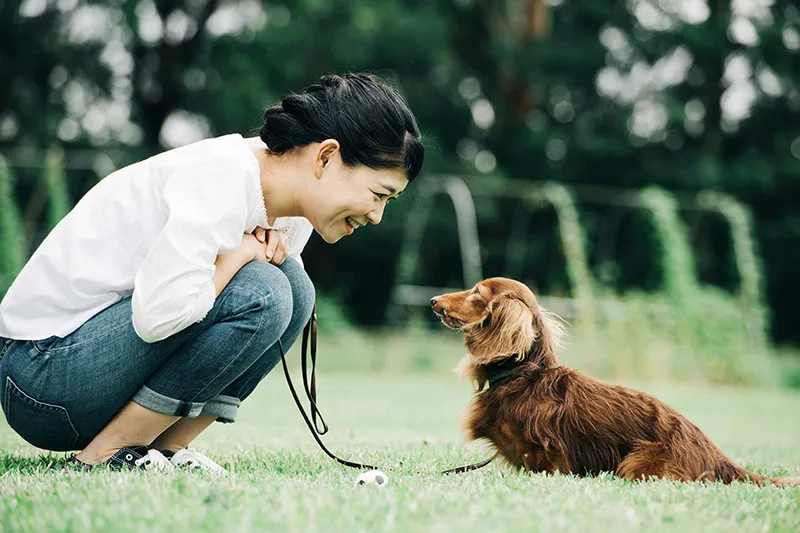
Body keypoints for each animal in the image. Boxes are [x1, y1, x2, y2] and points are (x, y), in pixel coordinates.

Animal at [434, 276, 796, 484]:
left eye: (477, 293)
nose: (434, 301)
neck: (523, 376)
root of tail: (719, 458)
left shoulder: (550, 458)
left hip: (636, 464)